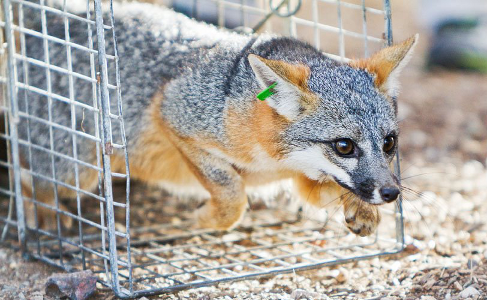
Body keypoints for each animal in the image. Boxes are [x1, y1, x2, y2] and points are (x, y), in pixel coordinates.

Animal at [10, 1, 416, 236]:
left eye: (389, 142)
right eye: (344, 146)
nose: (391, 193)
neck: (275, 159)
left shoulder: (301, 180)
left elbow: (330, 188)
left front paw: (362, 210)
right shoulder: (174, 114)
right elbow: (232, 193)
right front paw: (207, 218)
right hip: (77, 171)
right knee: (31, 177)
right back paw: (38, 217)